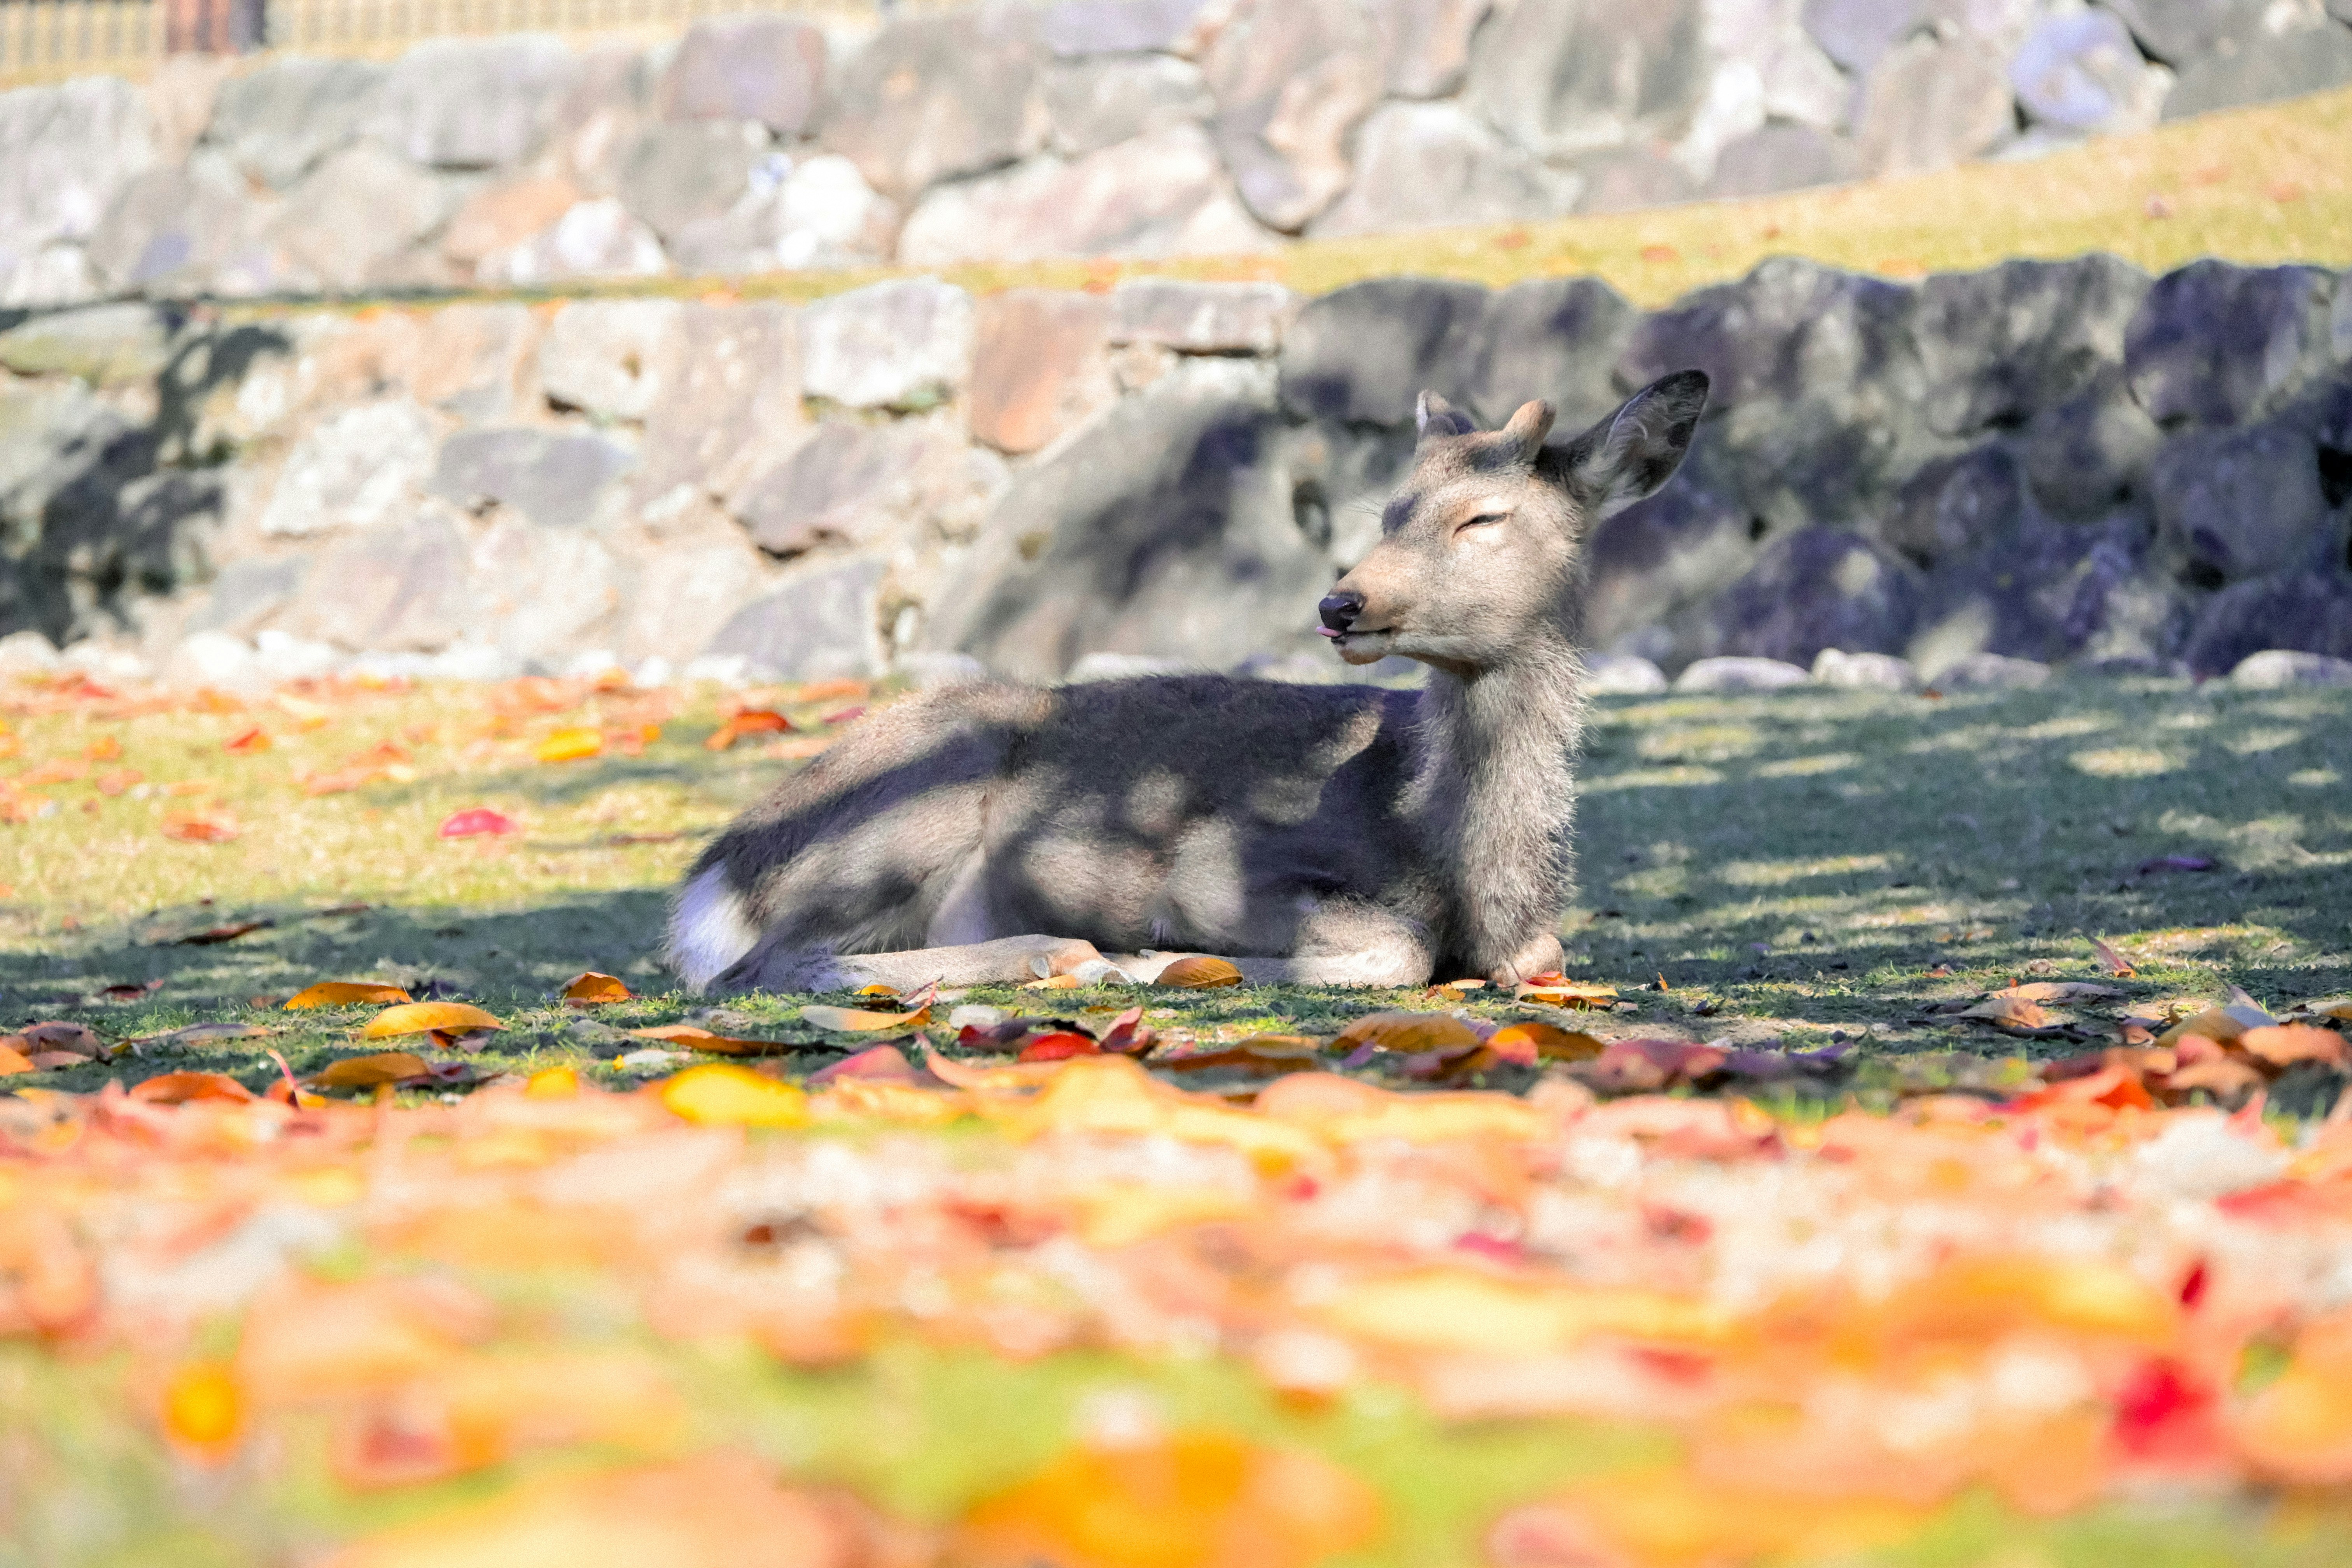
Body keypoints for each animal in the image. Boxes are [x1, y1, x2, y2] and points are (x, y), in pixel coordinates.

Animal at [668, 370, 1710, 994]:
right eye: (1391, 510)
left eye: (1483, 518)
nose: (1342, 603)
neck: (1462, 869)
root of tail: (715, 880)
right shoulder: (1214, 858)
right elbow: (1393, 949)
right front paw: (1160, 960)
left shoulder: (1535, 940)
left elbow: (1536, 954)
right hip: (918, 795)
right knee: (759, 968)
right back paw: (1064, 953)